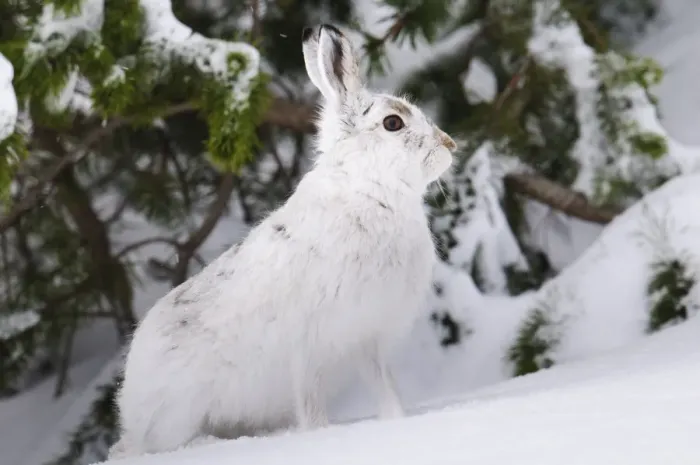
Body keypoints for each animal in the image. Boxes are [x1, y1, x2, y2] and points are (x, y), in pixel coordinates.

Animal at [108, 23, 457, 459]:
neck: (368, 189)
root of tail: (130, 404)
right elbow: (311, 406)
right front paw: (321, 437)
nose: (449, 145)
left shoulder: (366, 339)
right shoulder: (311, 348)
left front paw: (397, 422)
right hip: (177, 417)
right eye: (393, 123)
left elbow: (385, 388)